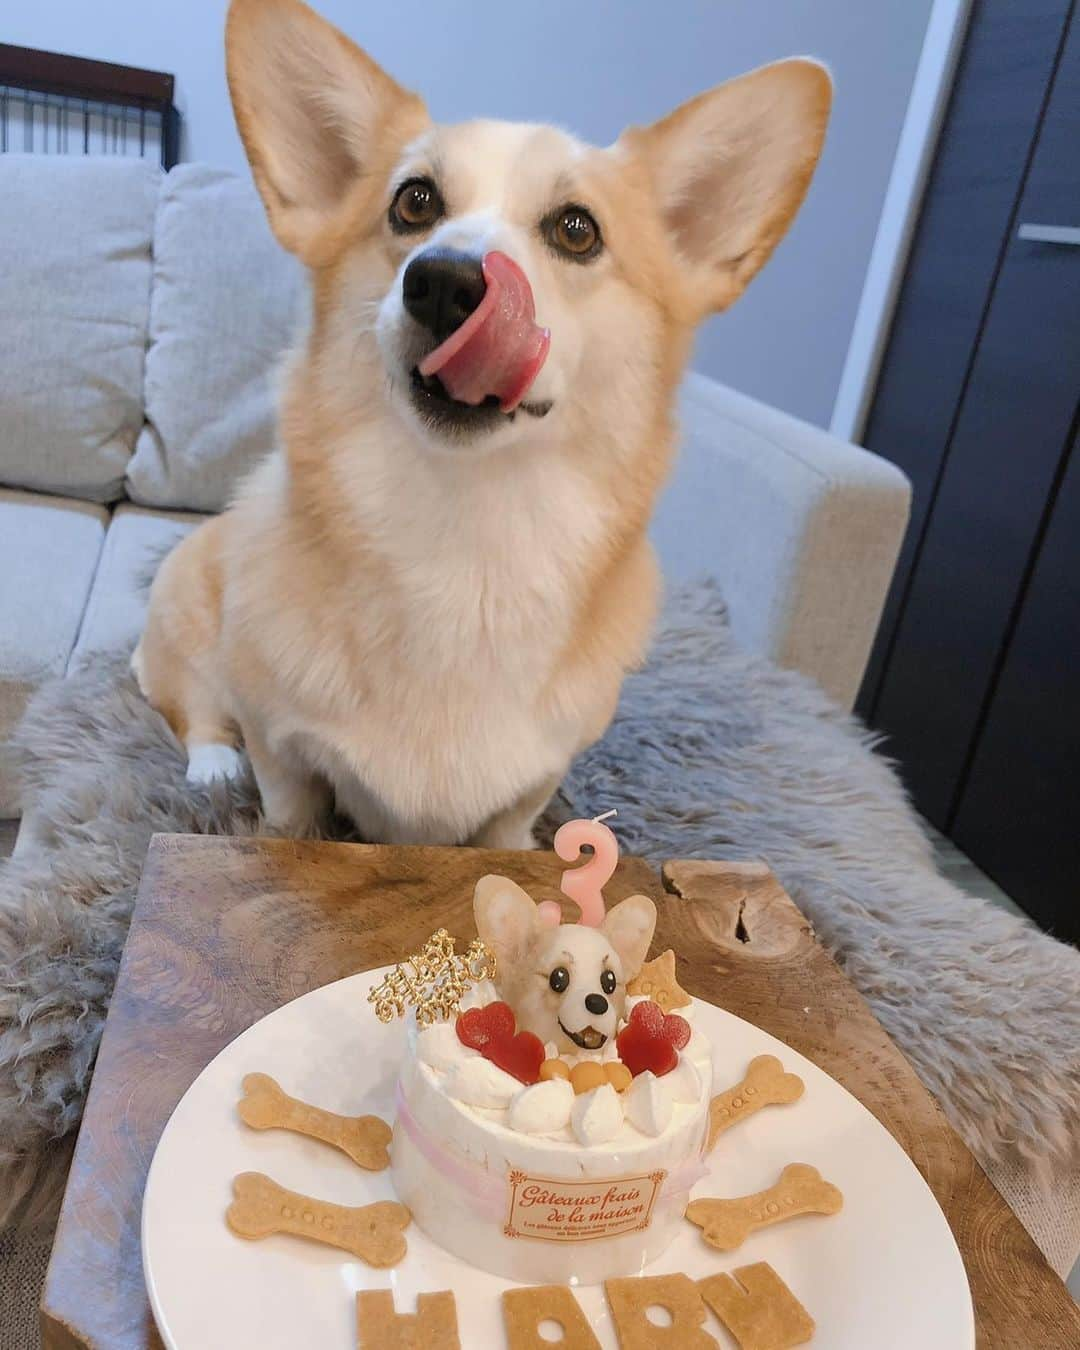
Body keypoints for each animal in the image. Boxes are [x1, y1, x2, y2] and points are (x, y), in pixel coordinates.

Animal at [130, 0, 831, 847]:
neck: (464, 541)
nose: (444, 282)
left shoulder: (534, 779)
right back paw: (212, 768)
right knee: (196, 710)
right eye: (414, 202)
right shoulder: (282, 746)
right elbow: (290, 815)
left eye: (576, 229)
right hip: (188, 630)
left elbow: (506, 832)